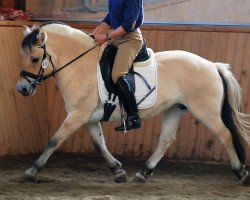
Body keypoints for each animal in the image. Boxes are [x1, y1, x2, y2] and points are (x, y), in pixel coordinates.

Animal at [16, 22, 249, 185]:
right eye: (22, 57)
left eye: (35, 59)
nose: (22, 89)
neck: (80, 65)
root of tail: (213, 65)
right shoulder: (87, 117)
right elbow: (99, 144)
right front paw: (118, 171)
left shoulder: (77, 115)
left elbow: (54, 140)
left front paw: (31, 171)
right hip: (175, 108)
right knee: (166, 139)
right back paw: (142, 173)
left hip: (205, 111)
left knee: (225, 135)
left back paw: (241, 173)